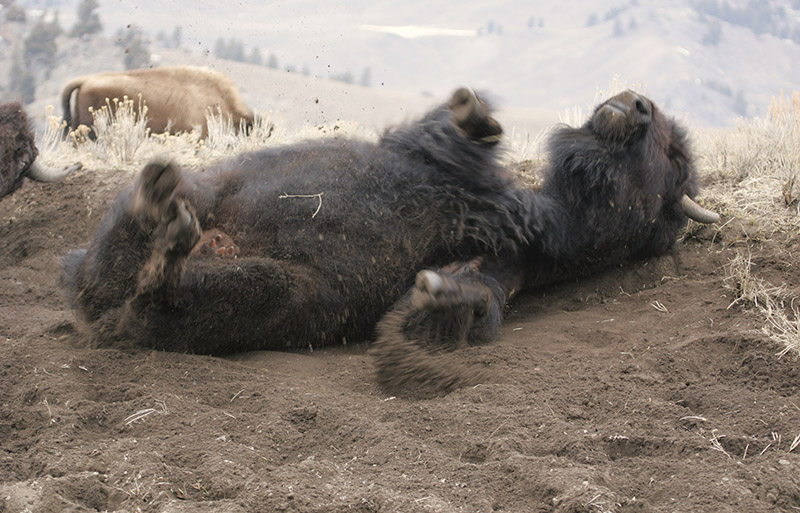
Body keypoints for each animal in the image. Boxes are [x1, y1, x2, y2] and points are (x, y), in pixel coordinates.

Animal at [59, 89, 716, 388]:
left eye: (676, 159)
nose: (635, 103)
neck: (536, 213)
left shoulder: (501, 269)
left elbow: (461, 304)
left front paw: (435, 294)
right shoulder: (428, 156)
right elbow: (457, 130)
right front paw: (472, 107)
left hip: (268, 287)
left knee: (149, 297)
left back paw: (165, 230)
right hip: (206, 195)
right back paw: (157, 193)